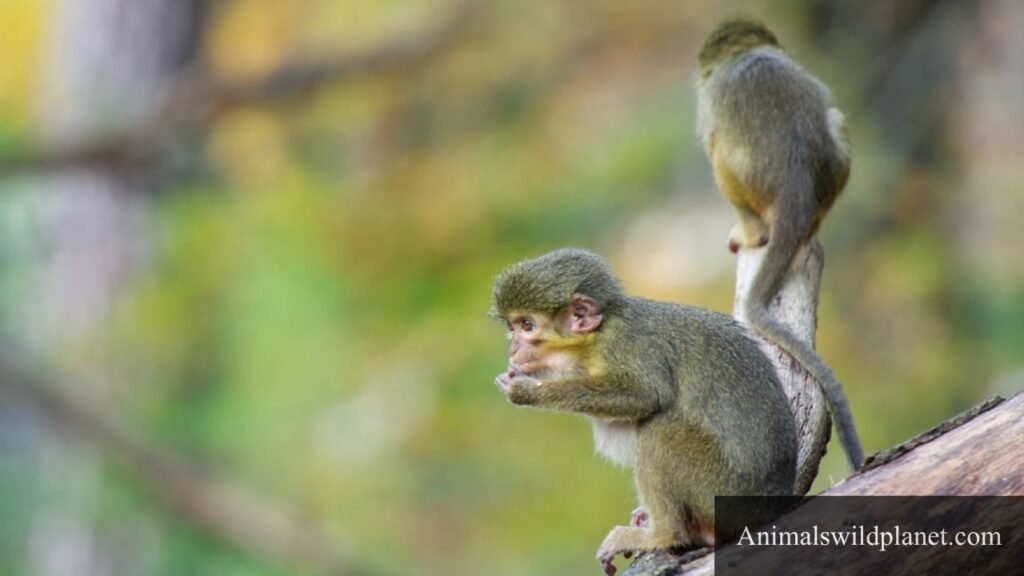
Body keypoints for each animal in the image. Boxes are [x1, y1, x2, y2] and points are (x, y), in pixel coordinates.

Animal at [491, 248, 797, 575]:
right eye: (512, 328)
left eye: (527, 326)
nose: (513, 350)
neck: (595, 340)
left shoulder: (626, 343)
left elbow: (646, 394)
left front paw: (526, 392)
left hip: (723, 492)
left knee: (661, 428)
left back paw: (664, 534)